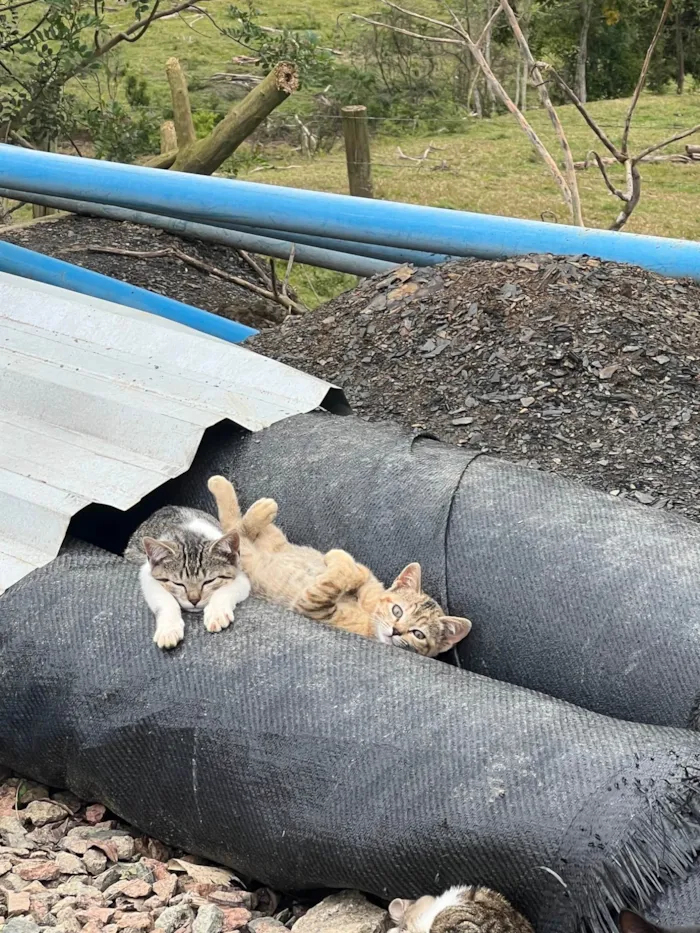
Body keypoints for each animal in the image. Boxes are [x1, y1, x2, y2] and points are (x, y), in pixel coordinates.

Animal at [126, 502, 252, 648]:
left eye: (209, 581)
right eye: (178, 583)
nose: (194, 600)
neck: (189, 535)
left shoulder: (241, 576)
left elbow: (225, 590)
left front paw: (217, 613)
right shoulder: (147, 575)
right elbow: (164, 599)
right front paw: (169, 630)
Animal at [206, 474, 470, 656]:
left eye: (418, 634)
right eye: (397, 611)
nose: (396, 630)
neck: (370, 619)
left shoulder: (312, 606)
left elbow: (338, 577)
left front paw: (343, 565)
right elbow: (361, 573)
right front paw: (343, 562)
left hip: (250, 555)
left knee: (235, 527)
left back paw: (245, 498)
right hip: (274, 540)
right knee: (239, 525)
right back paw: (241, 496)